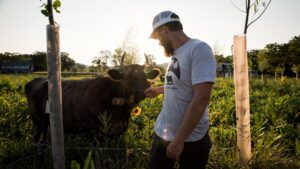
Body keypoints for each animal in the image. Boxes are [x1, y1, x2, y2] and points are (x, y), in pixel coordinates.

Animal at [24, 60, 161, 141]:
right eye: (127, 78)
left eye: (144, 77)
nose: (139, 91)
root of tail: (36, 80)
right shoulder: (100, 132)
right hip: (36, 121)